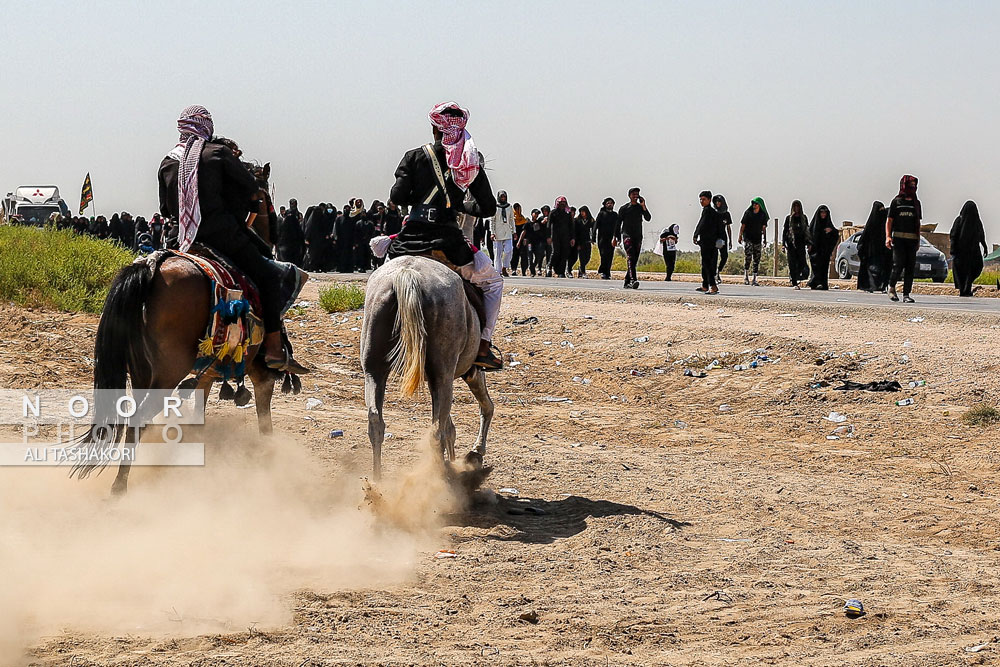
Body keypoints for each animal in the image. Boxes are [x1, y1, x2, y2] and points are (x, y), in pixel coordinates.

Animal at [364, 256, 496, 480]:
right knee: (437, 431)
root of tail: (407, 274)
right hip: (443, 374)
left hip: (374, 368)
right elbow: (485, 407)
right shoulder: (471, 371)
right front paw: (475, 453)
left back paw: (376, 483)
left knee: (376, 421)